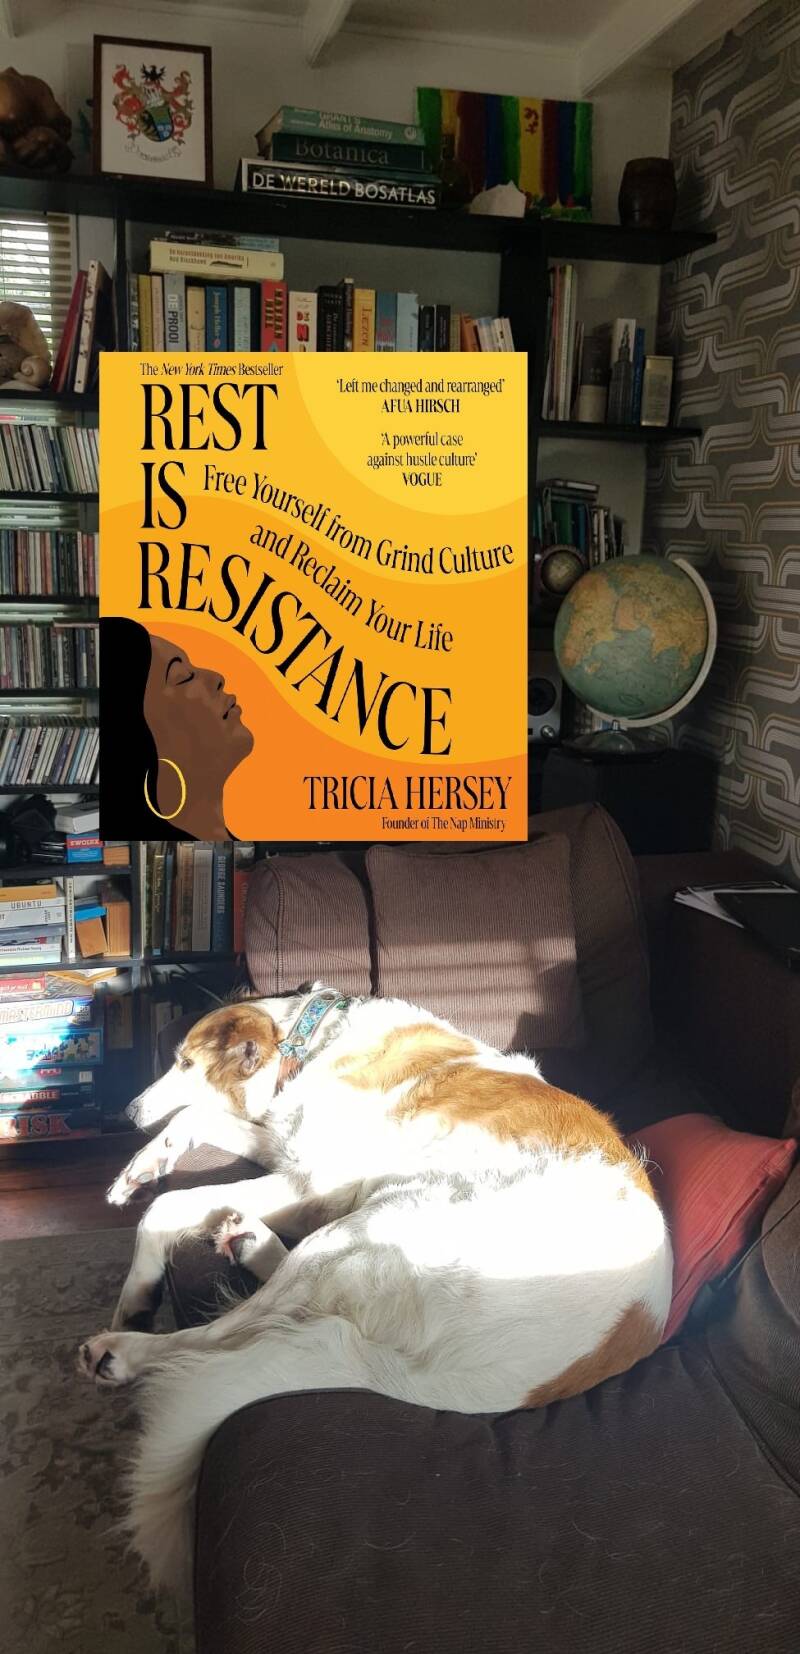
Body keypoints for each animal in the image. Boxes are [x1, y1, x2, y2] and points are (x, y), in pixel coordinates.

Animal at [78, 984, 672, 1594]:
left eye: (185, 1063)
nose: (126, 1114)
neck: (312, 1040)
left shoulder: (309, 1184)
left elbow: (166, 1205)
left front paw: (135, 1296)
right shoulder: (284, 1153)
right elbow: (196, 1117)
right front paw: (143, 1166)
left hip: (363, 1226)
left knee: (223, 1336)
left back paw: (123, 1351)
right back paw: (249, 1240)